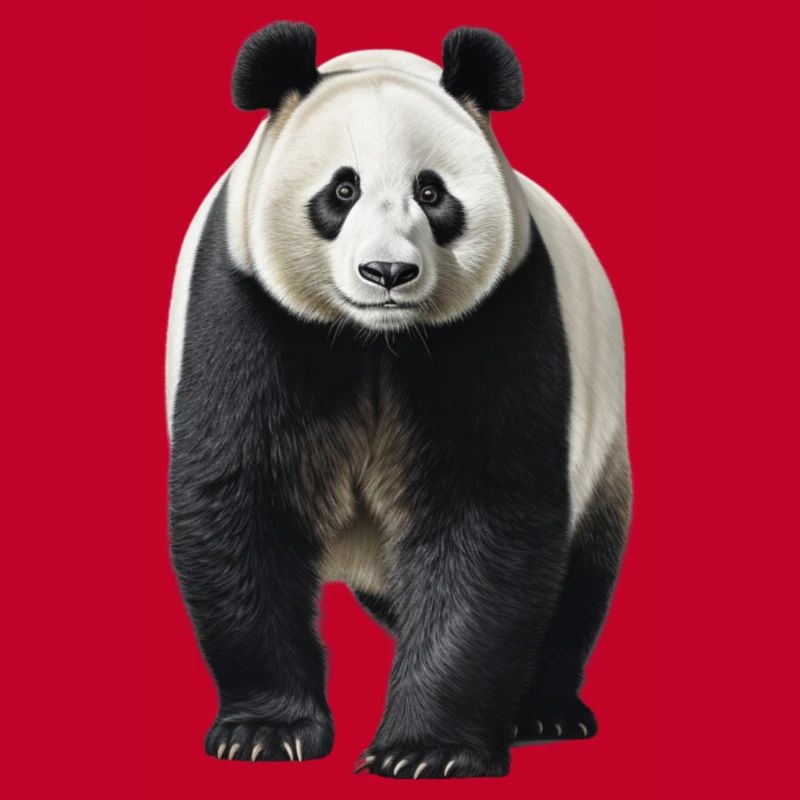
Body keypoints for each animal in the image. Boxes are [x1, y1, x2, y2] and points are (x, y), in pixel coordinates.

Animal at [166, 21, 632, 780]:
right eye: (342, 189)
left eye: (433, 193)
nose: (387, 272)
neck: (375, 339)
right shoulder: (247, 307)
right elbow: (242, 495)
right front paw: (266, 732)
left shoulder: (498, 317)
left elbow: (484, 514)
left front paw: (426, 750)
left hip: (603, 441)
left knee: (579, 577)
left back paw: (544, 710)